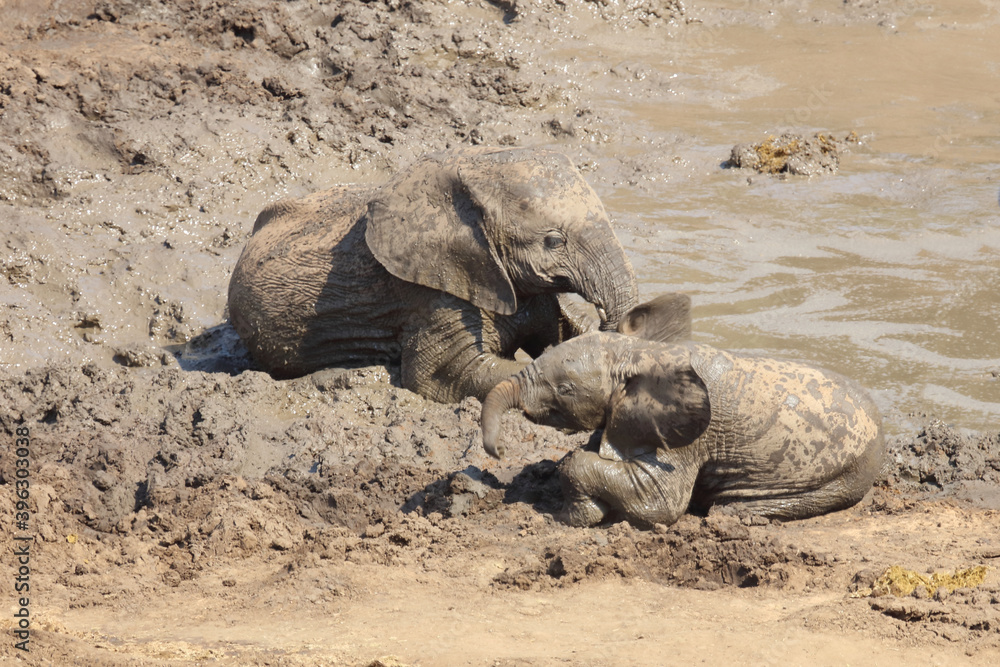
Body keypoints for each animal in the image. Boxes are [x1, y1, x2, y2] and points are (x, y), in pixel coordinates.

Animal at [481, 293, 886, 528]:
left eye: (564, 389)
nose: (496, 451)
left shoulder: (684, 436)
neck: (640, 355)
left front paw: (575, 517)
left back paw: (733, 514)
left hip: (843, 474)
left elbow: (659, 502)